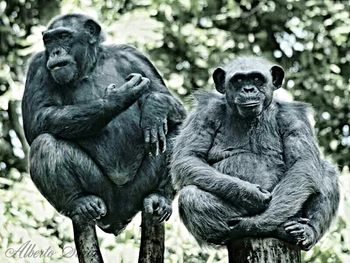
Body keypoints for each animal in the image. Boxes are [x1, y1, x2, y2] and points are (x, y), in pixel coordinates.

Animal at [21, 13, 186, 262]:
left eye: (64, 36)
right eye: (49, 40)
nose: (56, 51)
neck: (89, 66)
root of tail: (117, 220)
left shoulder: (136, 58)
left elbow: (172, 103)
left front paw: (155, 107)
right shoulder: (38, 65)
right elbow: (37, 118)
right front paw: (116, 98)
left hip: (138, 191)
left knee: (176, 131)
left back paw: (160, 196)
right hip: (101, 192)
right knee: (45, 143)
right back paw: (80, 202)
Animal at [171, 56, 340, 252]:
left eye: (257, 78)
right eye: (238, 80)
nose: (248, 89)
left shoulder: (293, 117)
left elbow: (302, 163)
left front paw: (257, 222)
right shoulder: (205, 113)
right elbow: (189, 157)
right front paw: (251, 194)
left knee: (325, 170)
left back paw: (303, 231)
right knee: (190, 196)